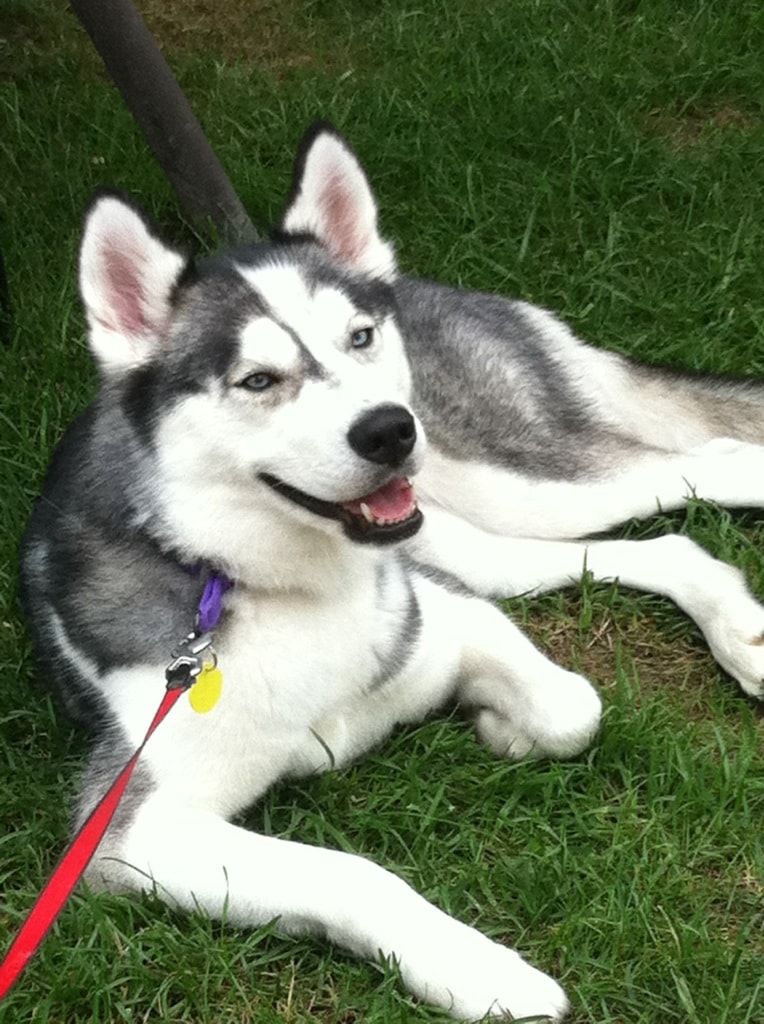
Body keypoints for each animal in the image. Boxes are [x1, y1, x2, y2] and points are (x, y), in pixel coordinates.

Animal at [19, 123, 764, 1019]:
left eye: (359, 338)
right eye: (258, 379)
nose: (388, 430)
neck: (295, 590)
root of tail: (429, 284)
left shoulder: (447, 617)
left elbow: (573, 706)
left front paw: (504, 722)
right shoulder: (136, 830)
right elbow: (354, 871)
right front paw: (483, 971)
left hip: (512, 484)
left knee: (720, 458)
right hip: (483, 538)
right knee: (663, 544)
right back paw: (742, 631)